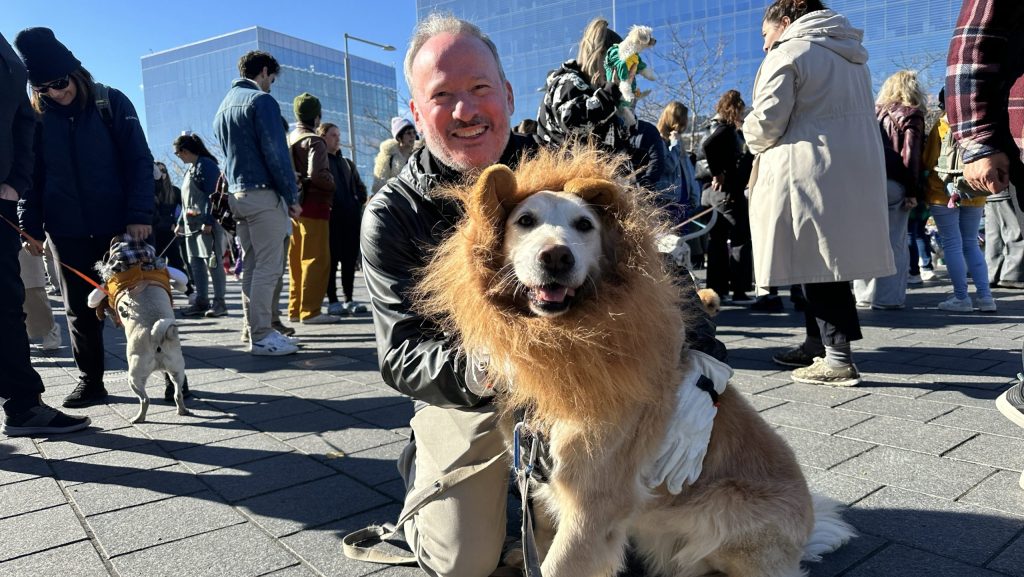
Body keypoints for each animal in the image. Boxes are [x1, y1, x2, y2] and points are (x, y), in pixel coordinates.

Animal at [415, 147, 856, 577]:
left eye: (585, 225)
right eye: (525, 220)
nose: (556, 257)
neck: (564, 352)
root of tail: (807, 532)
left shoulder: (595, 506)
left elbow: (558, 563)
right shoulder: (539, 475)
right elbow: (539, 525)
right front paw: (525, 555)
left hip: (724, 510)